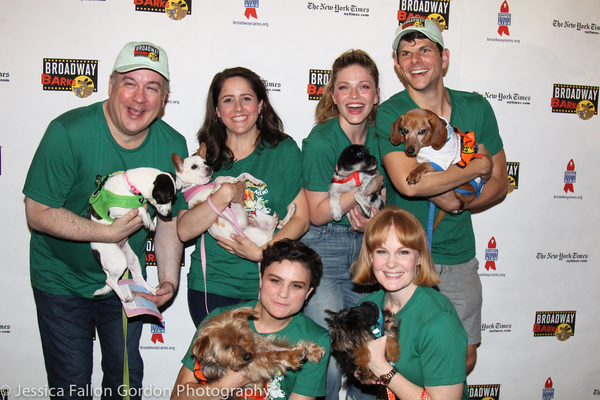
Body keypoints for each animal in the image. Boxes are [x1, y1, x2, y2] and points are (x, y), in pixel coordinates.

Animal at [89, 167, 177, 302]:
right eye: (167, 198)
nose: (169, 215)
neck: (131, 188)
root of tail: (95, 252)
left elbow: (144, 211)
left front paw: (150, 223)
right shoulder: (116, 211)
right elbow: (139, 209)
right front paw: (146, 220)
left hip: (132, 259)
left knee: (137, 278)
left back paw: (152, 290)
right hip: (119, 261)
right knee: (110, 281)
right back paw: (124, 296)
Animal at [191, 308, 324, 396]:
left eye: (241, 337)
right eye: (226, 347)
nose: (247, 356)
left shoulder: (263, 345)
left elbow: (281, 348)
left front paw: (312, 351)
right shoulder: (251, 367)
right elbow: (272, 355)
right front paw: (294, 355)